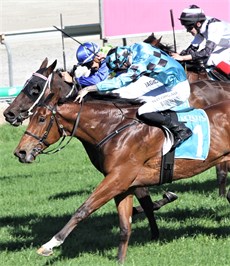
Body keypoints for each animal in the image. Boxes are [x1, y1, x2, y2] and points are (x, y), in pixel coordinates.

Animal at [14, 83, 230, 264]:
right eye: (31, 118)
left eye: (42, 118)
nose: (20, 152)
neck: (114, 129)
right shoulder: (125, 185)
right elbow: (125, 225)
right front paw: (120, 259)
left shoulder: (118, 178)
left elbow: (84, 209)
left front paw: (50, 245)